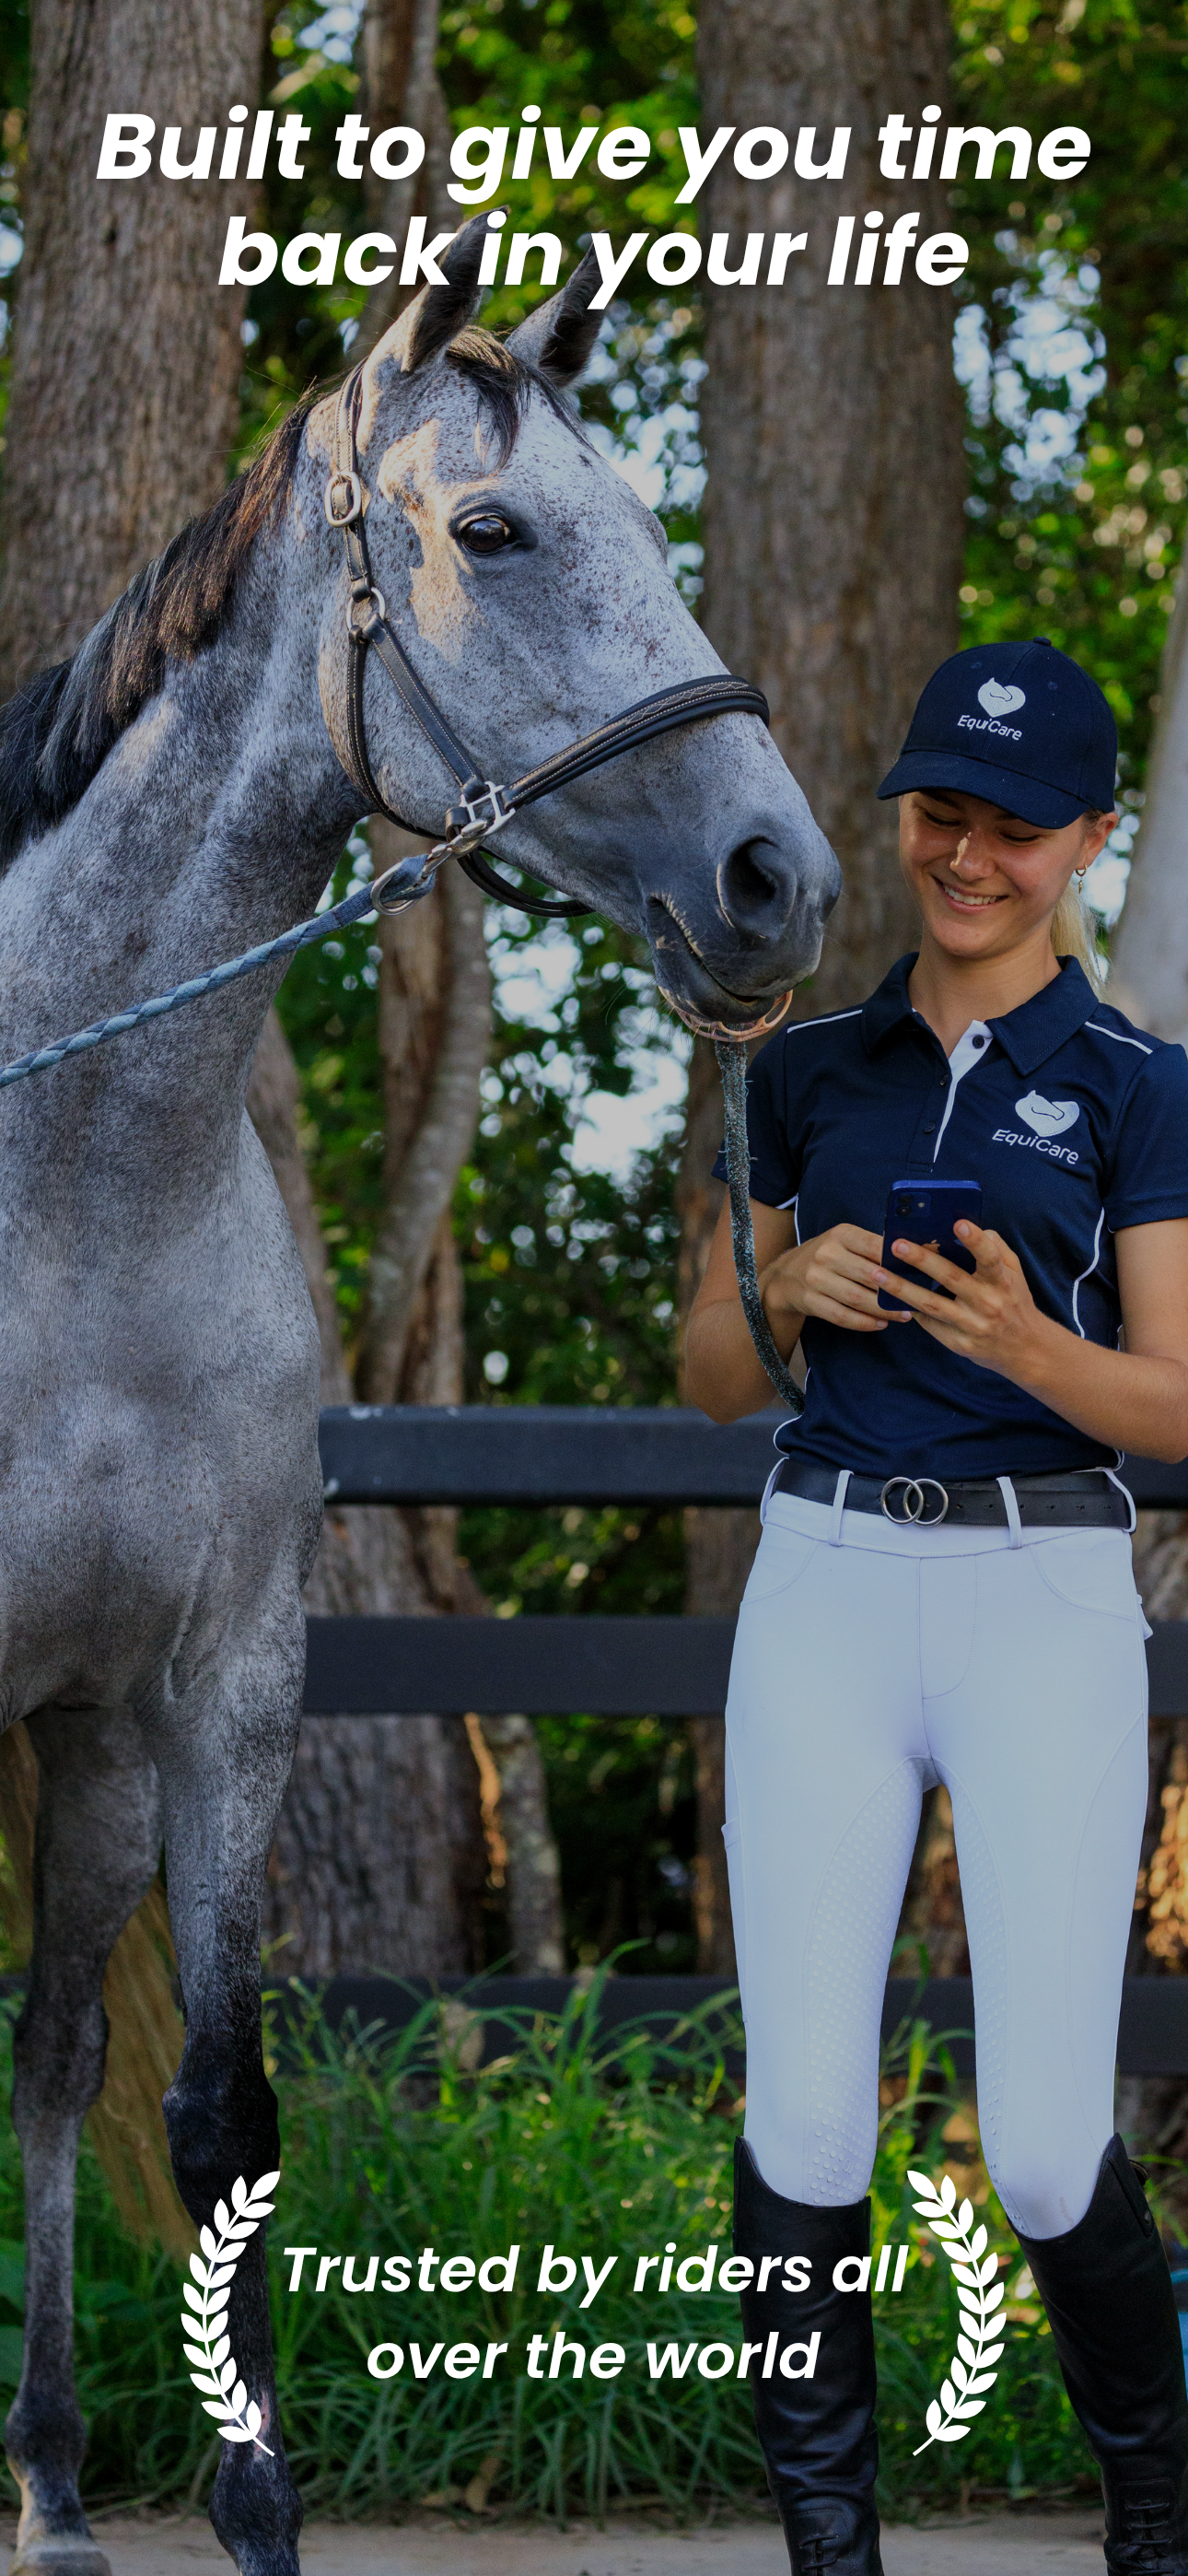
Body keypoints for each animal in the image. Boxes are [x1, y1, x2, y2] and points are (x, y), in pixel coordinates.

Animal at [0, 213, 838, 2575]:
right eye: (491, 531)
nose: (780, 881)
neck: (75, 1176)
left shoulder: (220, 1686)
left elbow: (216, 2110)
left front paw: (253, 2505)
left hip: (88, 1748)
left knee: (47, 2057)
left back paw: (59, 2490)